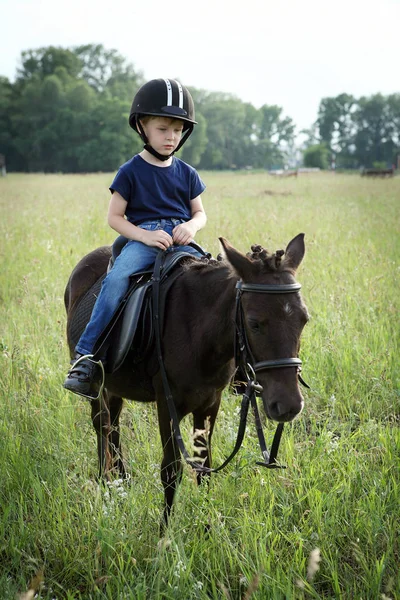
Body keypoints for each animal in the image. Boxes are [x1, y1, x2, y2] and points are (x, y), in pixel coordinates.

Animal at [65, 232, 310, 524]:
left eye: (304, 320)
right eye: (254, 323)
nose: (289, 405)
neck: (199, 332)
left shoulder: (209, 404)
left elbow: (204, 468)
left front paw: (207, 526)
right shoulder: (166, 405)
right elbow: (171, 471)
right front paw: (166, 532)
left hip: (115, 386)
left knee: (113, 424)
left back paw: (121, 481)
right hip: (97, 386)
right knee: (102, 424)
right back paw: (106, 483)